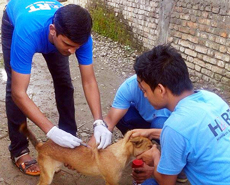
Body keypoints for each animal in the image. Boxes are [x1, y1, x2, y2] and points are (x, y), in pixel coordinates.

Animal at [20, 124, 153, 185]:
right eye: (150, 147)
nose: (156, 147)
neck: (118, 153)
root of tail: (41, 146)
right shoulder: (112, 182)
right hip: (47, 177)